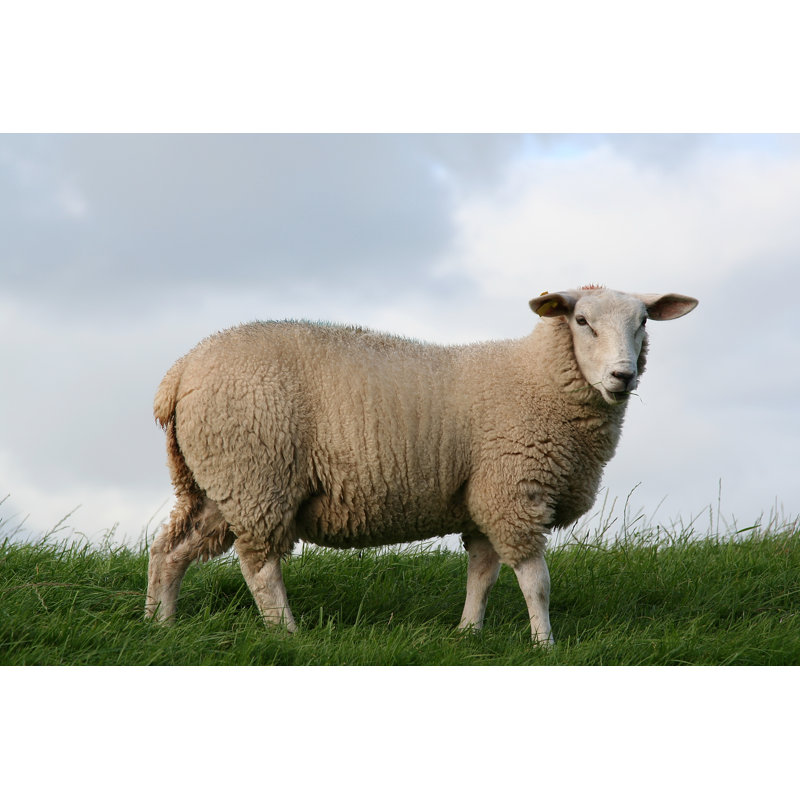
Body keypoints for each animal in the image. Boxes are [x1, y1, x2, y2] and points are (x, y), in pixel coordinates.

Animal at [145, 287, 698, 643]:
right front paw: (546, 644)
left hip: (214, 485)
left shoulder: (480, 500)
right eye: (582, 321)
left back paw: (159, 624)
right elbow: (535, 581)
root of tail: (180, 372)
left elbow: (482, 573)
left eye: (643, 322)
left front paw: (467, 632)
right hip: (257, 474)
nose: (623, 376)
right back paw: (287, 633)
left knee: (169, 550)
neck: (536, 378)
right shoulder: (512, 493)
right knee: (259, 565)